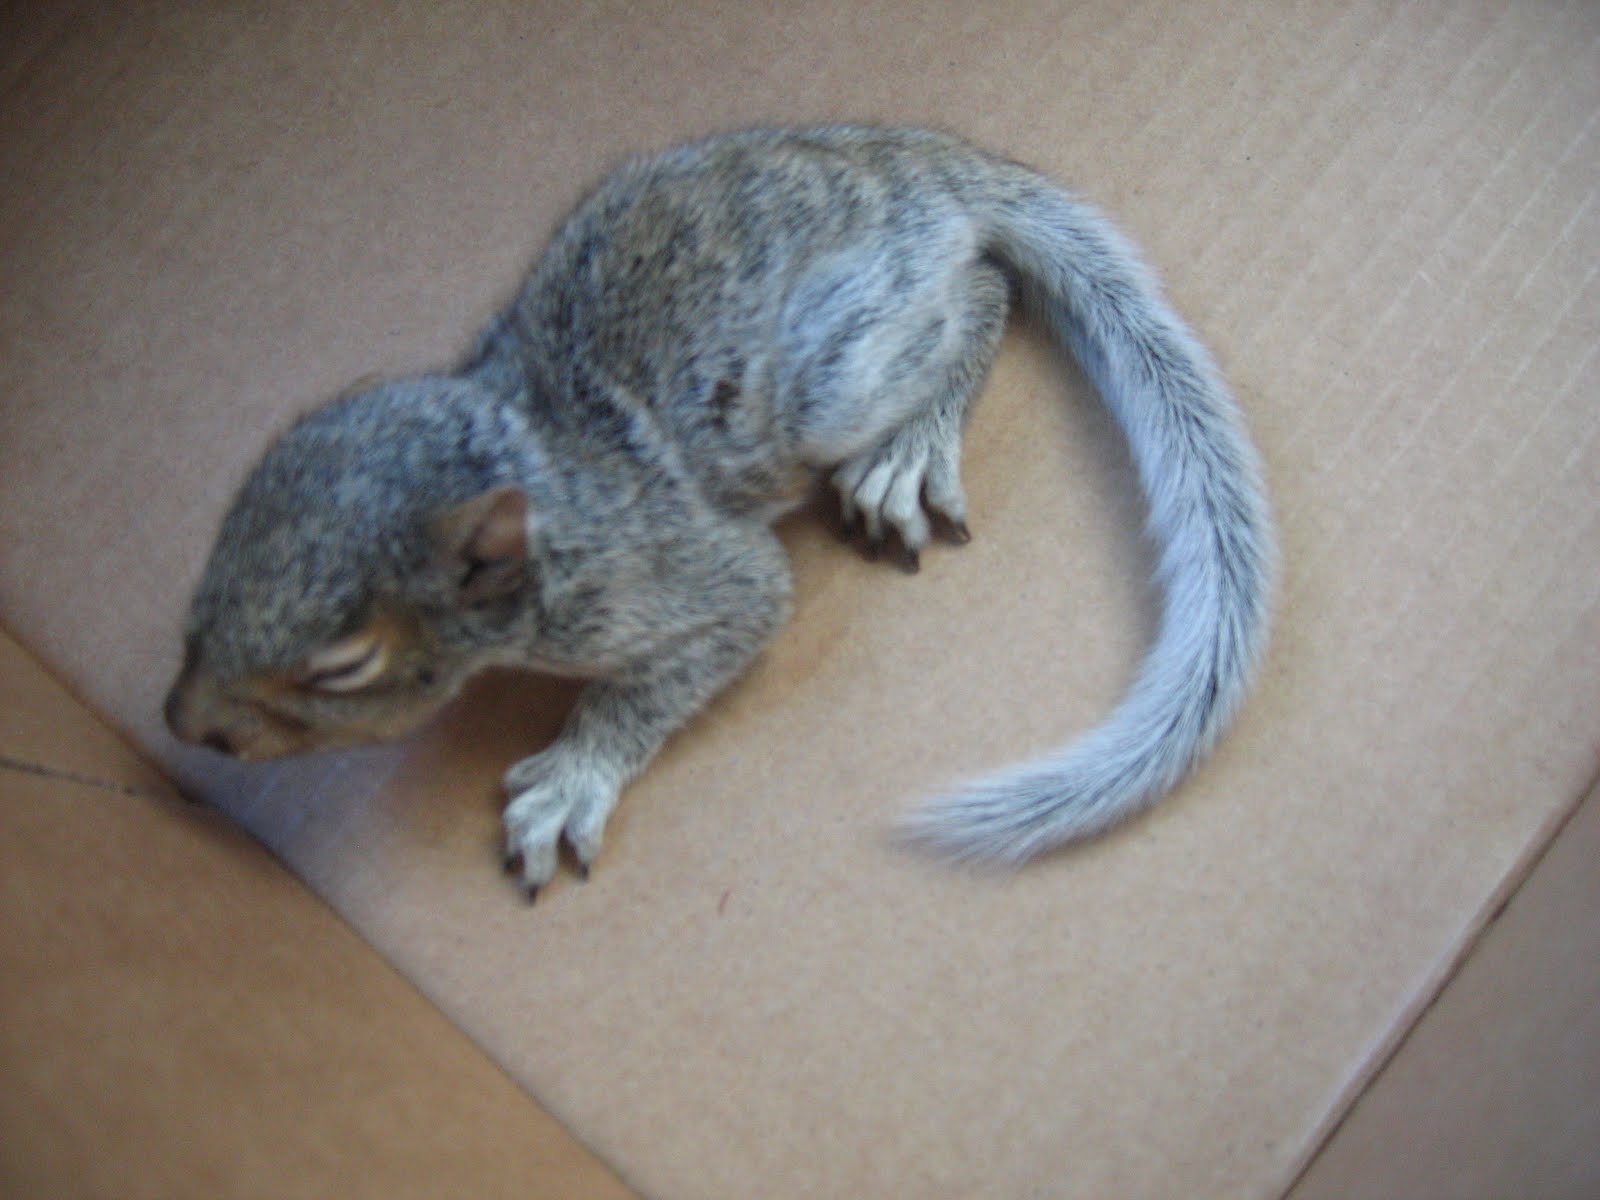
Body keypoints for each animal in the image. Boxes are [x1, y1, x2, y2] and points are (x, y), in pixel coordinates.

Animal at [165, 126, 1274, 897]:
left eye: (343, 665)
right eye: (209, 565)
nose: (183, 725)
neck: (545, 470)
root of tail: (921, 167)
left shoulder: (671, 579)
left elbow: (716, 629)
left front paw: (574, 778)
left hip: (840, 368)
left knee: (985, 294)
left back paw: (910, 446)